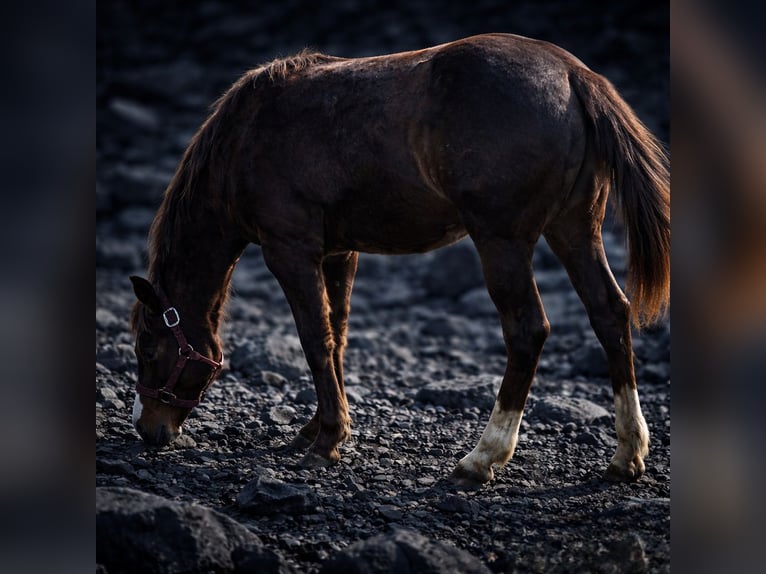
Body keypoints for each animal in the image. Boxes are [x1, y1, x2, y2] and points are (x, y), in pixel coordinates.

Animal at [129, 33, 669, 487]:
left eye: (148, 349)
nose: (147, 430)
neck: (245, 139)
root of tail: (574, 75)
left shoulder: (290, 251)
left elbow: (314, 339)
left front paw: (326, 442)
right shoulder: (339, 252)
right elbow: (337, 335)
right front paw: (318, 428)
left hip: (503, 241)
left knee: (528, 330)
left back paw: (482, 457)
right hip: (575, 230)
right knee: (610, 313)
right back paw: (627, 454)